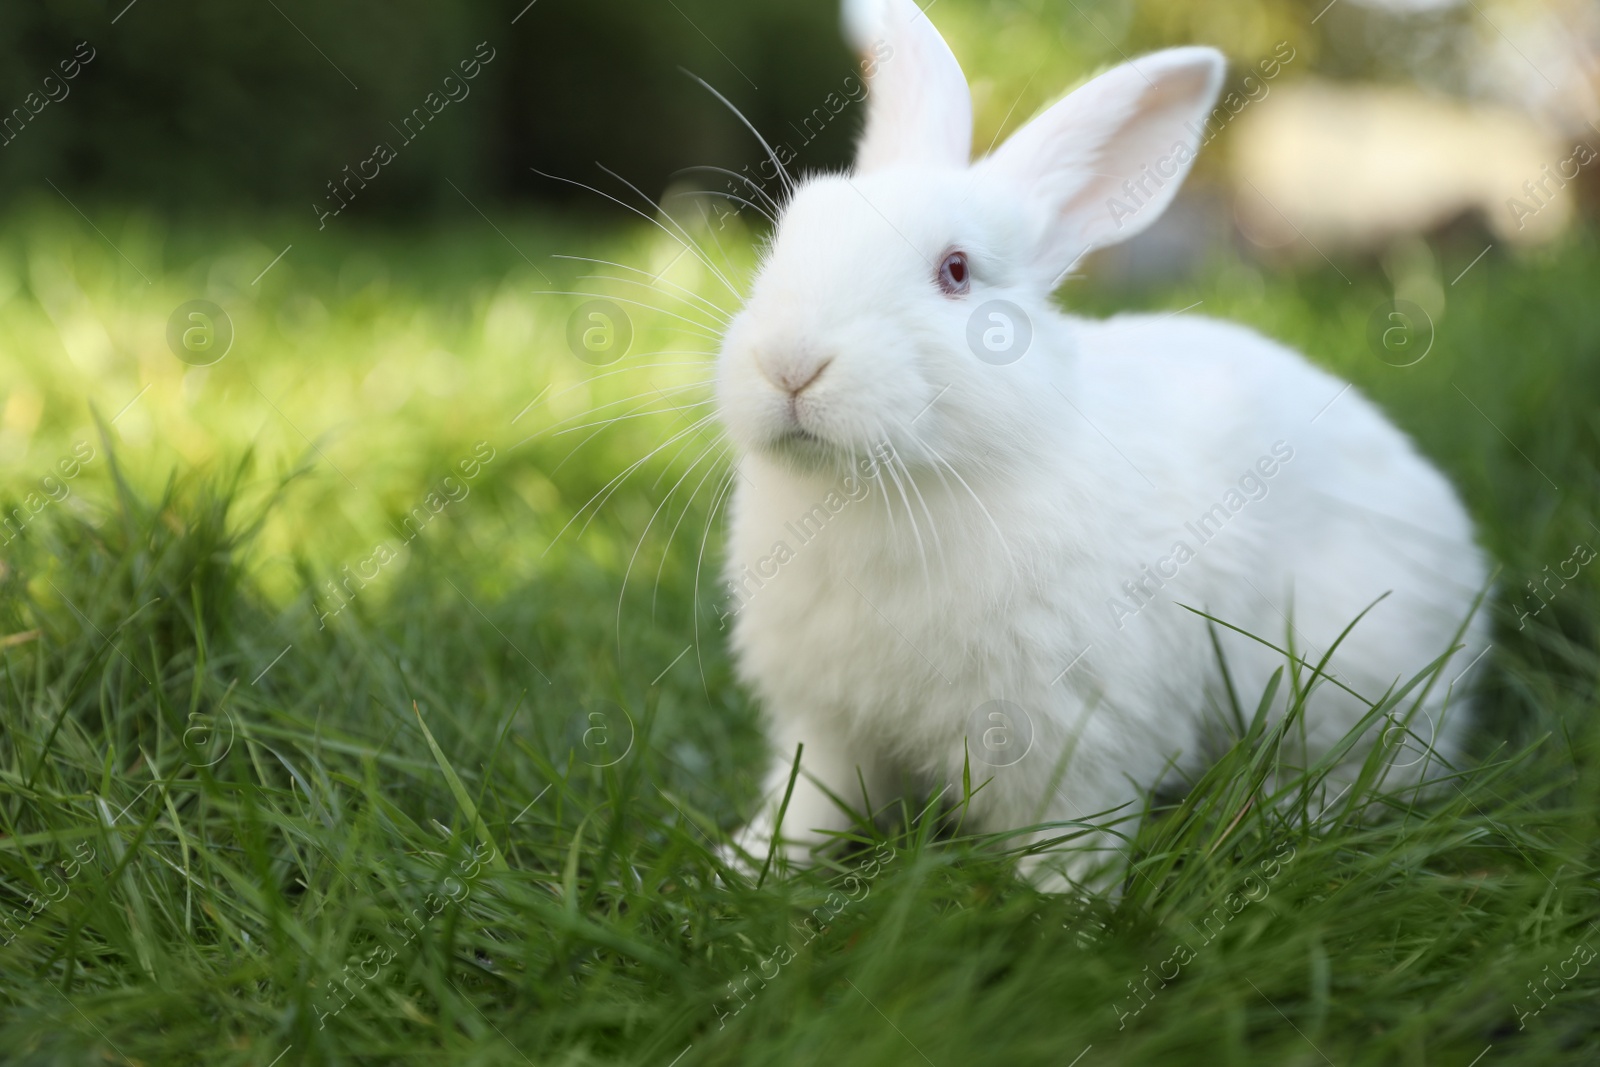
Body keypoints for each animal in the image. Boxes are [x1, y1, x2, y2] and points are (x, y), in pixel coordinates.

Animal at [713, 0, 1484, 889]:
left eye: (956, 270)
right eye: (788, 237)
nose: (789, 363)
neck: (893, 490)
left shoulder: (1074, 734)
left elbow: (1071, 833)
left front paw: (1058, 905)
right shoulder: (831, 724)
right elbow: (810, 800)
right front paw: (748, 861)